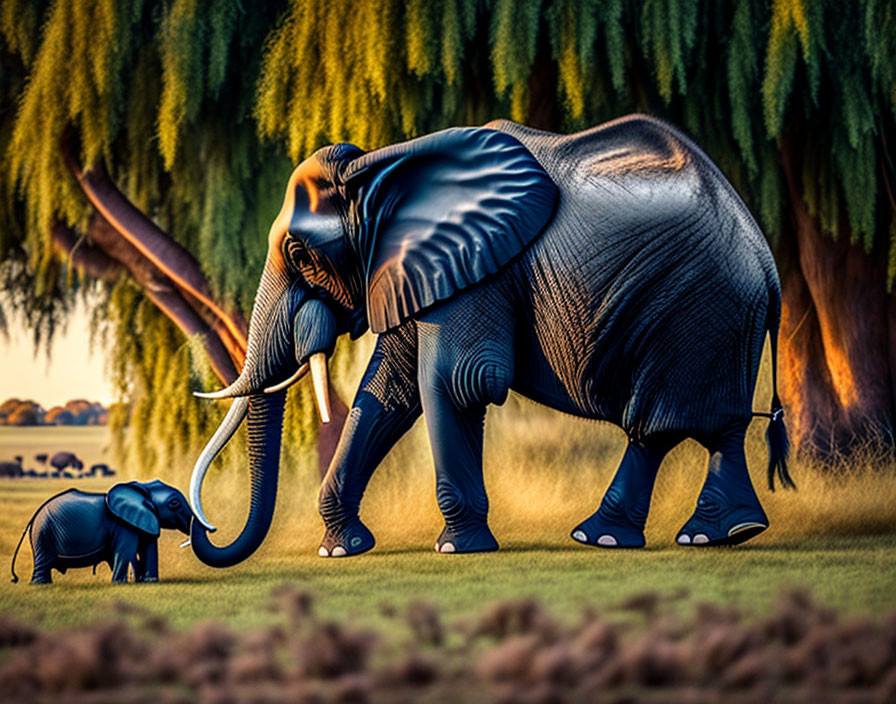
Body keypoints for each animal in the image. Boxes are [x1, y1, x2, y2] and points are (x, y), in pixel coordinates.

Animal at [9, 478, 192, 584]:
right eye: (174, 504)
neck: (141, 488)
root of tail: (33, 517)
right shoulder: (123, 523)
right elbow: (126, 551)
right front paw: (121, 584)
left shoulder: (145, 517)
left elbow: (148, 548)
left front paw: (147, 582)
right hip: (44, 535)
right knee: (44, 562)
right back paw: (41, 585)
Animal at [187, 114, 792, 568]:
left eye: (299, 254)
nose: (205, 530)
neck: (381, 167)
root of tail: (769, 265)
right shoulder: (419, 267)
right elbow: (389, 388)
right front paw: (340, 550)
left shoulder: (479, 270)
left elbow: (458, 381)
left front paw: (458, 547)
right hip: (711, 318)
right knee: (709, 428)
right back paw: (719, 533)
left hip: (696, 306)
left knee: (660, 424)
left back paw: (626, 536)